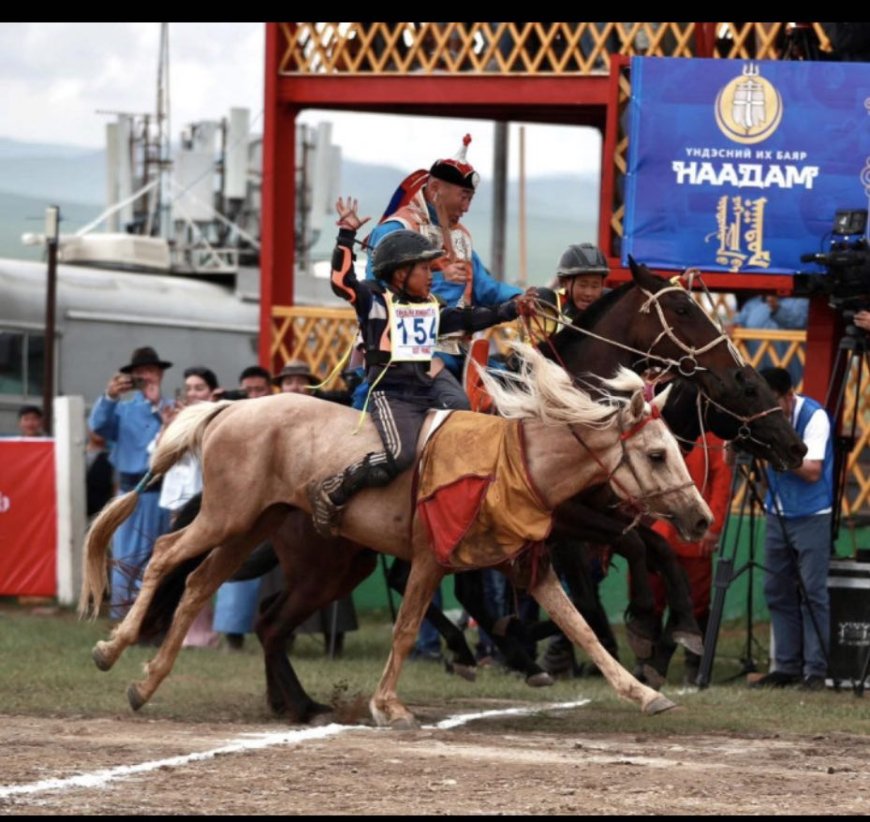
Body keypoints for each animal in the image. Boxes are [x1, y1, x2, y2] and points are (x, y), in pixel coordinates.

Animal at [78, 348, 712, 728]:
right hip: (228, 518)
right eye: (657, 454)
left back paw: (151, 684)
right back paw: (111, 650)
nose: (702, 519)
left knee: (202, 587)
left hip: (254, 527)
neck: (514, 463)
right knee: (167, 558)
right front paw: (389, 705)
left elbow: (582, 629)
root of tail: (227, 412)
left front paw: (643, 691)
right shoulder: (432, 558)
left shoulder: (526, 565)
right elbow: (408, 628)